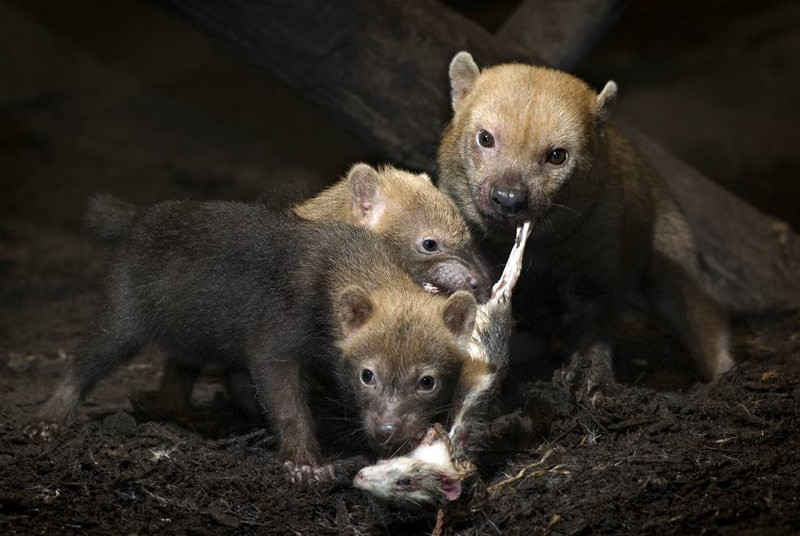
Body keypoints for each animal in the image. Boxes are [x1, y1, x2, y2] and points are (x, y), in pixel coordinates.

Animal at [434, 51, 736, 402]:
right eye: (485, 138)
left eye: (557, 155)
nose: (508, 199)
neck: (543, 254)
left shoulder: (598, 269)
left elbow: (596, 325)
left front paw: (588, 377)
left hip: (673, 249)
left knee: (701, 312)